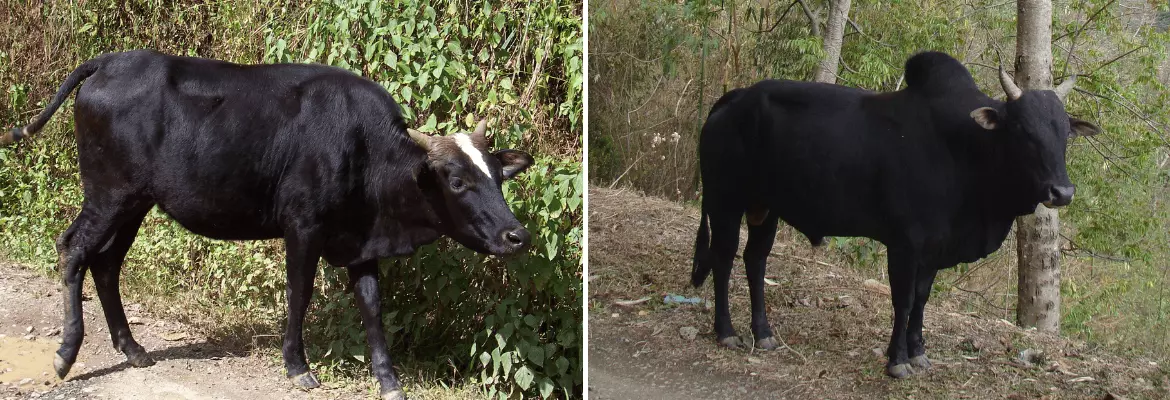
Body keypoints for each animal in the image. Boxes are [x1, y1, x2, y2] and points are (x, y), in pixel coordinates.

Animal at [2, 50, 535, 400]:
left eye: (497, 175)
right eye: (458, 181)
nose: (517, 235)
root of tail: (110, 61)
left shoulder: (360, 243)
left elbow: (372, 307)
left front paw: (389, 381)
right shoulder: (303, 226)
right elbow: (299, 294)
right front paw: (297, 366)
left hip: (135, 202)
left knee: (107, 263)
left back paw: (132, 348)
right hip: (108, 194)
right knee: (73, 248)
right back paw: (66, 352)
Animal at [691, 51, 1099, 379]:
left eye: (1066, 132)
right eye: (1020, 129)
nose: (1062, 192)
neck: (965, 149)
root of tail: (734, 98)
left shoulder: (935, 249)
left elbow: (921, 299)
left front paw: (918, 353)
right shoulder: (906, 243)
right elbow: (902, 300)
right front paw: (897, 360)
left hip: (766, 209)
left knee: (755, 259)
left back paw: (763, 333)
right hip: (724, 202)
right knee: (723, 259)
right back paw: (727, 332)